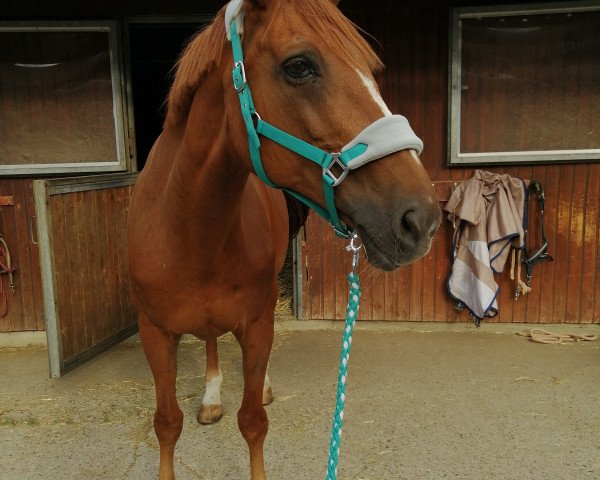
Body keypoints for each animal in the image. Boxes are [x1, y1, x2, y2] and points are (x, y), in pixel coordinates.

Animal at [129, 0, 440, 480]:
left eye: (371, 69)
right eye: (299, 66)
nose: (420, 220)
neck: (191, 228)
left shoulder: (258, 322)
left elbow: (253, 421)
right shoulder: (154, 332)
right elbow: (166, 424)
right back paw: (211, 396)